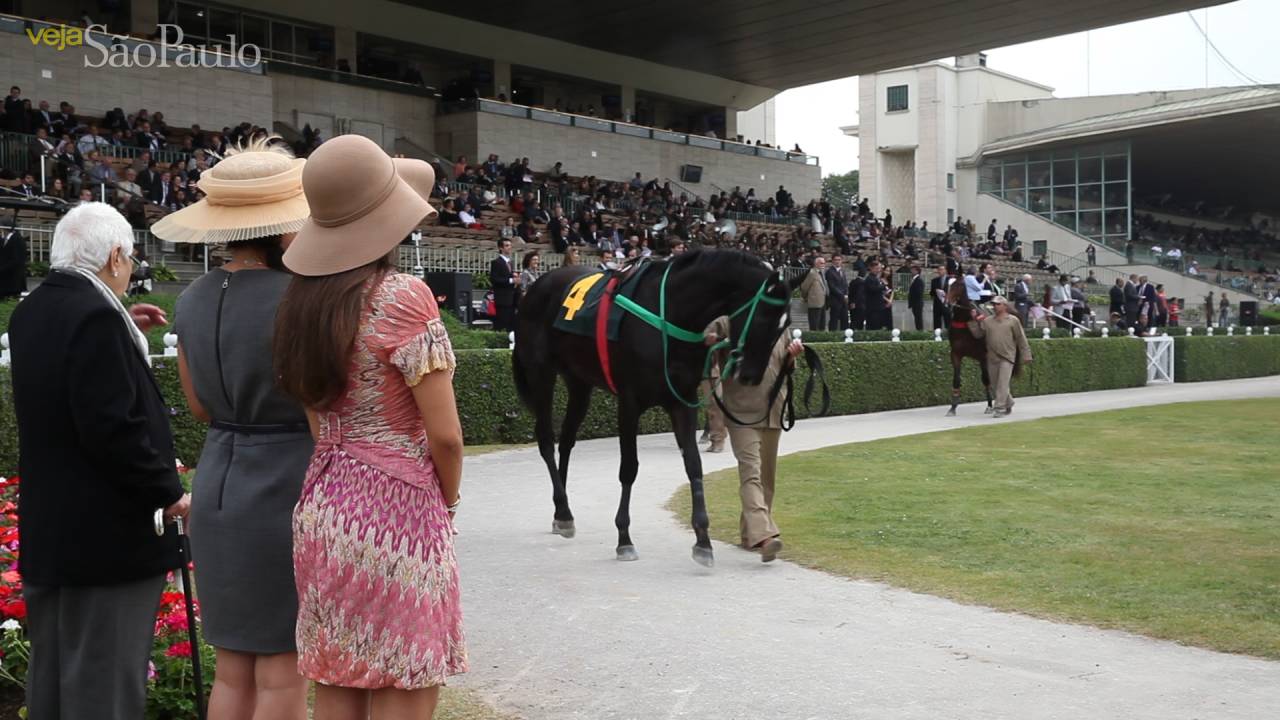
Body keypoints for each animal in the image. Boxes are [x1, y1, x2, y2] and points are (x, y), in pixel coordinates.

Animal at [512, 249, 793, 563]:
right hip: (541, 374)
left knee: (567, 440)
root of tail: (537, 286)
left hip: (579, 382)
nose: (751, 376)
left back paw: (562, 515)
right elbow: (629, 468)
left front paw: (703, 540)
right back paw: (562, 507)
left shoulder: (682, 402)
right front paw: (624, 537)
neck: (668, 314)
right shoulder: (629, 402)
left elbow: (693, 465)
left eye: (784, 325)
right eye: (763, 318)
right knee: (546, 439)